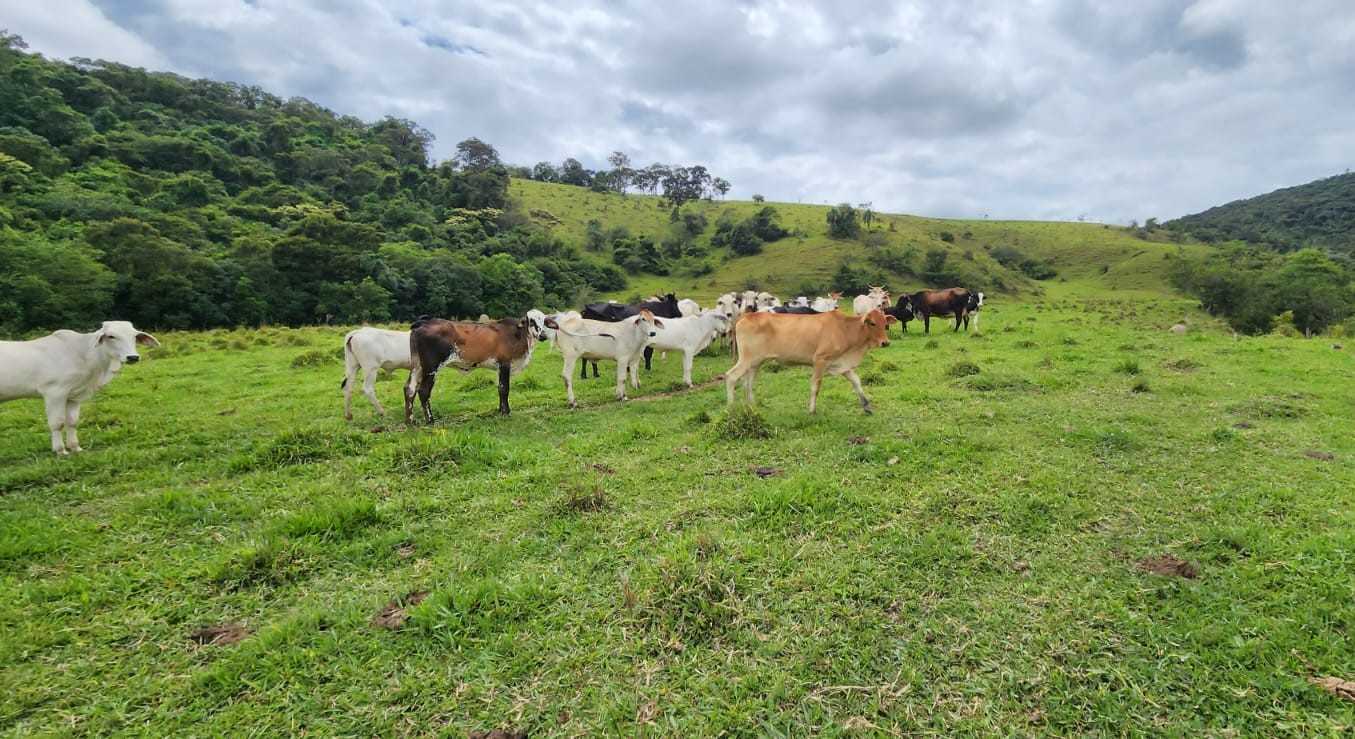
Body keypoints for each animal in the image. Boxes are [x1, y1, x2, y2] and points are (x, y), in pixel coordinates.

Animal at [0, 320, 161, 452]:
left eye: (134, 336)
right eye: (111, 336)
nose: (133, 357)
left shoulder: (74, 396)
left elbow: (72, 422)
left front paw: (75, 447)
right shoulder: (54, 393)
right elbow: (57, 423)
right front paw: (60, 450)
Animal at [401, 309, 550, 423]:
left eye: (544, 321)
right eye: (531, 321)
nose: (543, 335)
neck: (518, 334)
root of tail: (425, 322)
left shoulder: (499, 367)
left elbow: (499, 389)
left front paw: (500, 410)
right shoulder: (505, 364)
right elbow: (504, 389)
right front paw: (506, 412)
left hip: (417, 366)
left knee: (409, 389)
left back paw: (410, 421)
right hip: (431, 367)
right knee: (423, 391)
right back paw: (430, 420)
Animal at [726, 307, 894, 414]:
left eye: (885, 324)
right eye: (872, 323)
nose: (885, 342)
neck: (845, 329)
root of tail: (745, 316)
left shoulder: (841, 364)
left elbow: (856, 382)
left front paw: (867, 406)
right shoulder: (820, 360)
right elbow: (816, 385)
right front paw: (812, 410)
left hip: (755, 363)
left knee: (747, 383)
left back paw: (752, 406)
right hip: (746, 359)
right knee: (731, 376)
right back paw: (731, 408)